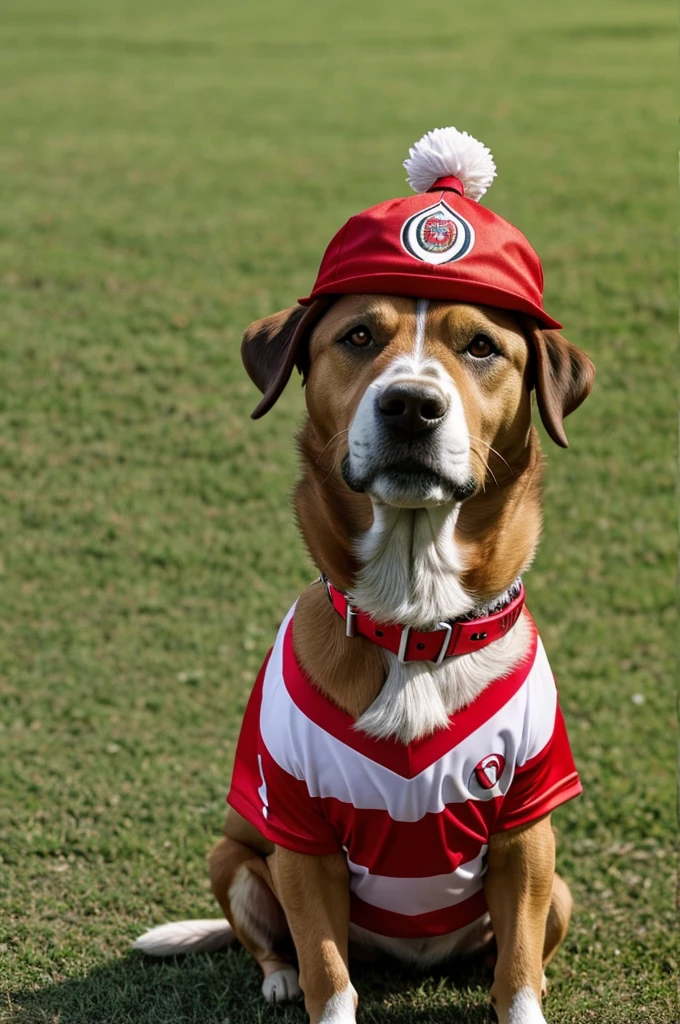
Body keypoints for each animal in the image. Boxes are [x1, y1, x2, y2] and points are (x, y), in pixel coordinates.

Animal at [137, 132, 593, 1024]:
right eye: (354, 337)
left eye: (482, 346)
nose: (412, 405)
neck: (414, 619)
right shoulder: (300, 832)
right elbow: (328, 973)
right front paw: (306, 982)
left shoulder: (528, 824)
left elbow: (519, 974)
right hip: (233, 856)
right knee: (268, 938)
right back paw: (275, 976)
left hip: (558, 889)